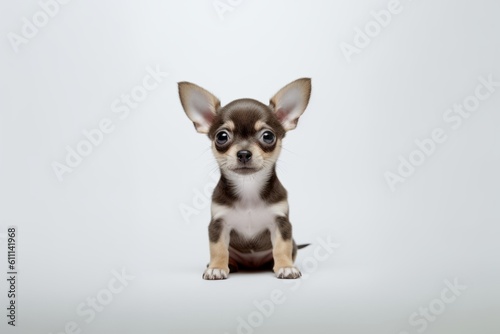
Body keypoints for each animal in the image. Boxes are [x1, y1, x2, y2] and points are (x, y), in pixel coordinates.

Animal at [180, 78, 310, 280]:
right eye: (222, 136)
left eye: (268, 136)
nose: (243, 153)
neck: (249, 188)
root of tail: (252, 265)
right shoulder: (218, 224)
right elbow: (218, 249)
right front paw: (217, 268)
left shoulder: (281, 223)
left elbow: (282, 247)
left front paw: (285, 267)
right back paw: (229, 265)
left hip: (292, 244)